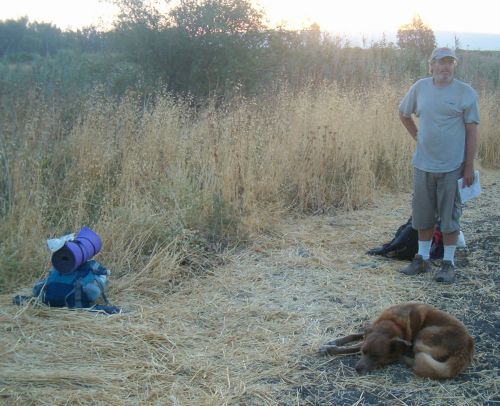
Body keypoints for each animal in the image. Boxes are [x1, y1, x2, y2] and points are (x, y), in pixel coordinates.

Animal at [318, 302, 474, 380]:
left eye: (376, 357)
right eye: (364, 352)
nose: (357, 369)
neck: (393, 323)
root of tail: (467, 348)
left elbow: (352, 347)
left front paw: (330, 349)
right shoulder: (369, 331)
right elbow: (354, 336)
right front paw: (333, 342)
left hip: (423, 335)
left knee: (417, 361)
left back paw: (402, 358)